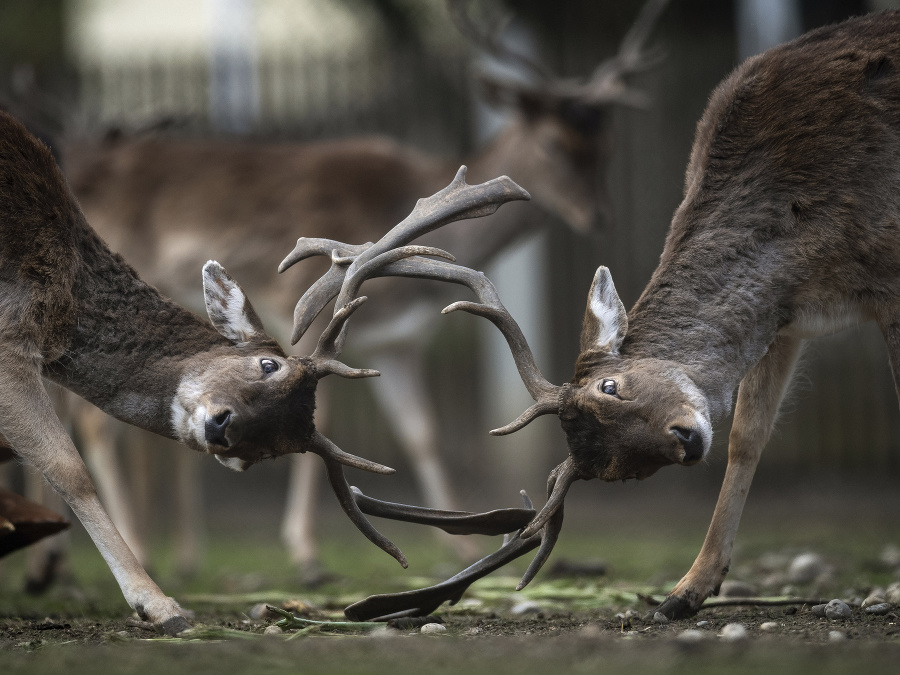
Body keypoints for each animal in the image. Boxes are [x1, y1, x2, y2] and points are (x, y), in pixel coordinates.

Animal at [49, 0, 668, 580]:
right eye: (552, 144)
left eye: (606, 144)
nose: (599, 216)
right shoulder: (298, 310)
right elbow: (318, 422)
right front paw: (305, 551)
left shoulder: (397, 341)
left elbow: (422, 434)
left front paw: (460, 544)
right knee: (93, 417)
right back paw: (133, 549)